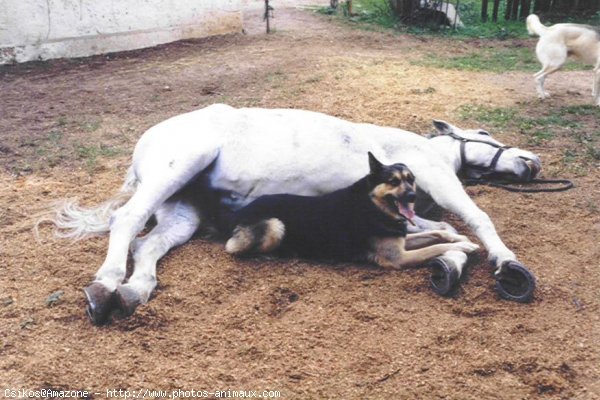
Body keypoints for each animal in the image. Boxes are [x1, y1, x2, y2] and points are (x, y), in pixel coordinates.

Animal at [225, 153, 478, 268]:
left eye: (411, 180)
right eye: (393, 181)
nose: (412, 197)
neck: (373, 206)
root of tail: (237, 213)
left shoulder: (401, 241)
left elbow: (436, 234)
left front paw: (459, 238)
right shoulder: (399, 257)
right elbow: (436, 247)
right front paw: (463, 246)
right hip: (276, 225)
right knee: (233, 249)